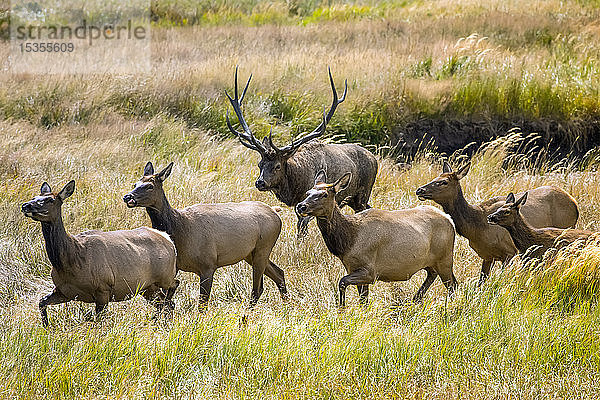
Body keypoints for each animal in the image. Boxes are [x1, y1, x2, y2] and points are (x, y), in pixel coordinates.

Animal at [23, 181, 178, 328]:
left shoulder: (103, 287)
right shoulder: (64, 291)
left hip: (165, 275)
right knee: (165, 304)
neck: (71, 261)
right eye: (34, 197)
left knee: (174, 289)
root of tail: (168, 239)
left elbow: (99, 319)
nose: (26, 205)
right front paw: (46, 328)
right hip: (147, 288)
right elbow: (41, 302)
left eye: (50, 199)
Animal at [123, 161, 288, 308]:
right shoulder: (174, 268)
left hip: (264, 246)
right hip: (250, 253)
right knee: (279, 273)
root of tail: (275, 212)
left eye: (150, 186)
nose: (127, 197)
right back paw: (287, 306)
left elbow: (202, 304)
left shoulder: (208, 264)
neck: (179, 230)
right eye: (135, 184)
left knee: (257, 288)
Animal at [227, 67, 378, 238]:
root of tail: (375, 159)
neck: (294, 186)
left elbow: (302, 229)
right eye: (260, 164)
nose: (260, 182)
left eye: (278, 166)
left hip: (363, 193)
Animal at [298, 171, 458, 306]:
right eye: (308, 192)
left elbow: (342, 282)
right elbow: (363, 301)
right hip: (432, 262)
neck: (347, 241)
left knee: (452, 285)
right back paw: (416, 299)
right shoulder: (353, 268)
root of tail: (450, 219)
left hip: (445, 258)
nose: (301, 206)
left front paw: (341, 308)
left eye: (324, 195)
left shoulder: (370, 271)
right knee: (433, 276)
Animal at [414, 161, 580, 282]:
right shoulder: (487, 255)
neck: (476, 227)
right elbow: (481, 283)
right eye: (435, 178)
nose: (419, 190)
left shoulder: (509, 251)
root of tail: (575, 203)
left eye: (443, 182)